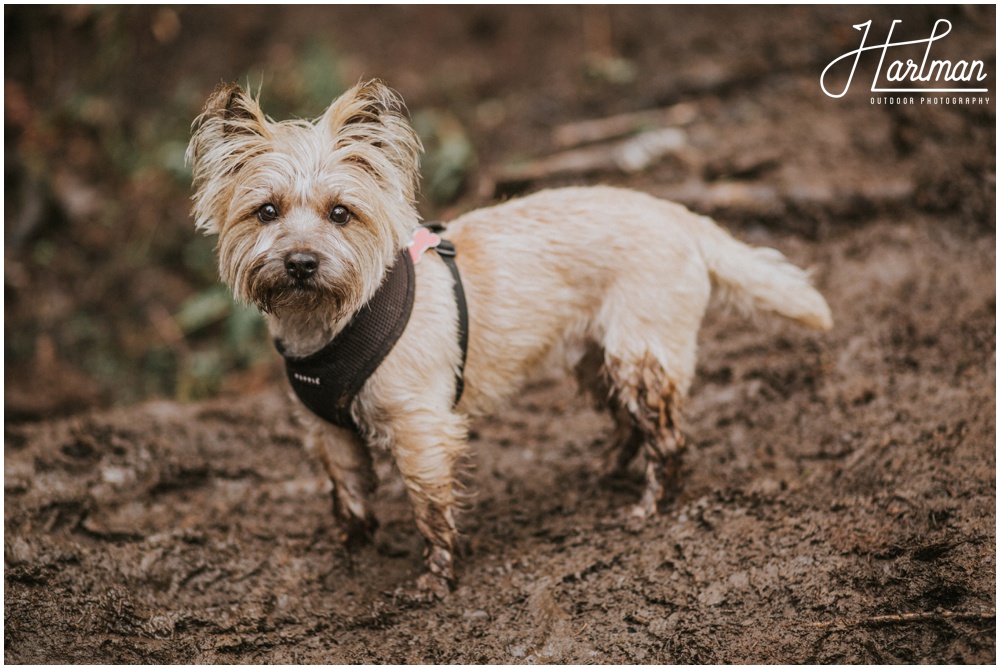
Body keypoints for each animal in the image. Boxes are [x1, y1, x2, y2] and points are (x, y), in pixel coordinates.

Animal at [186, 78, 828, 596]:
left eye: (341, 213)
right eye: (266, 212)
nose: (300, 262)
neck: (328, 321)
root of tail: (680, 216)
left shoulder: (422, 432)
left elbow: (430, 508)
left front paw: (435, 579)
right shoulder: (330, 434)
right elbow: (349, 496)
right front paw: (351, 551)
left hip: (639, 355)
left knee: (667, 439)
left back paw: (648, 505)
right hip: (594, 360)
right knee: (627, 422)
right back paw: (606, 469)